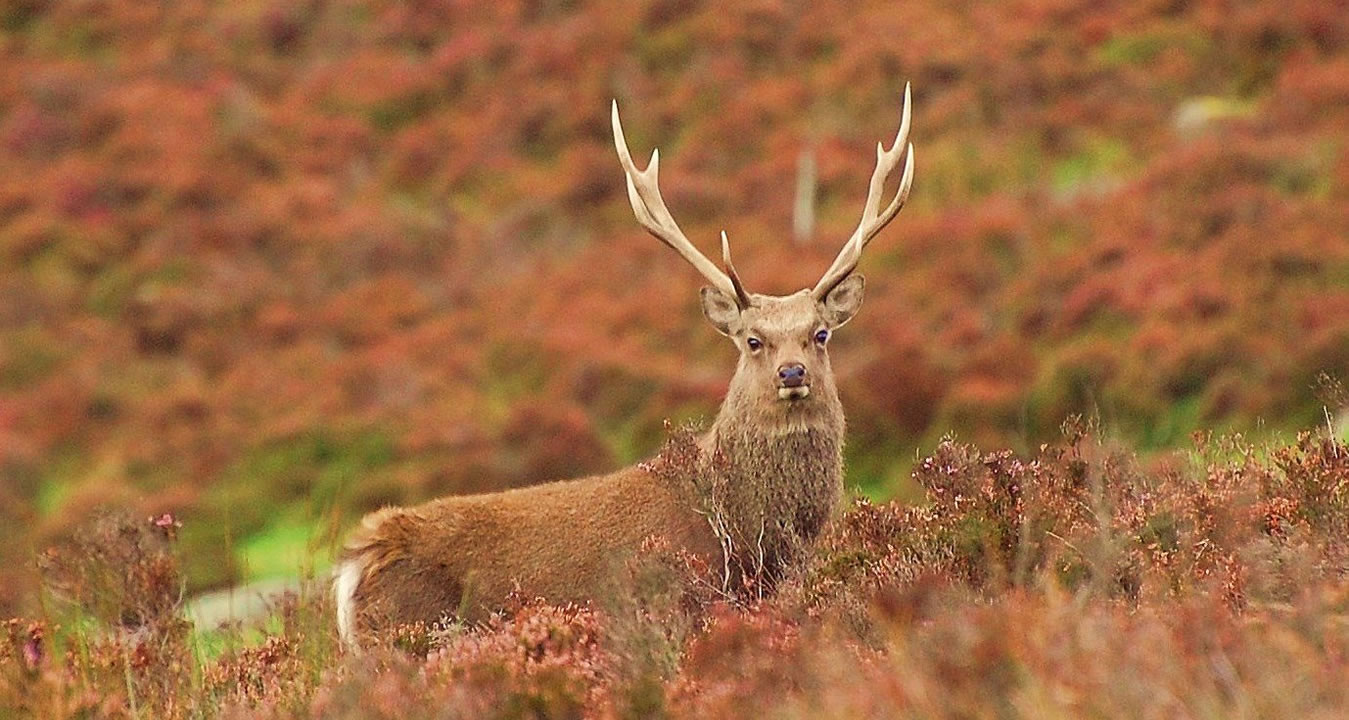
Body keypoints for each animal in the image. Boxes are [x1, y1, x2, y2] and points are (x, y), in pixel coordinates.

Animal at [335, 85, 915, 649]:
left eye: (820, 334)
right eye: (753, 340)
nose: (792, 373)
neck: (743, 534)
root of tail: (353, 566)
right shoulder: (678, 601)